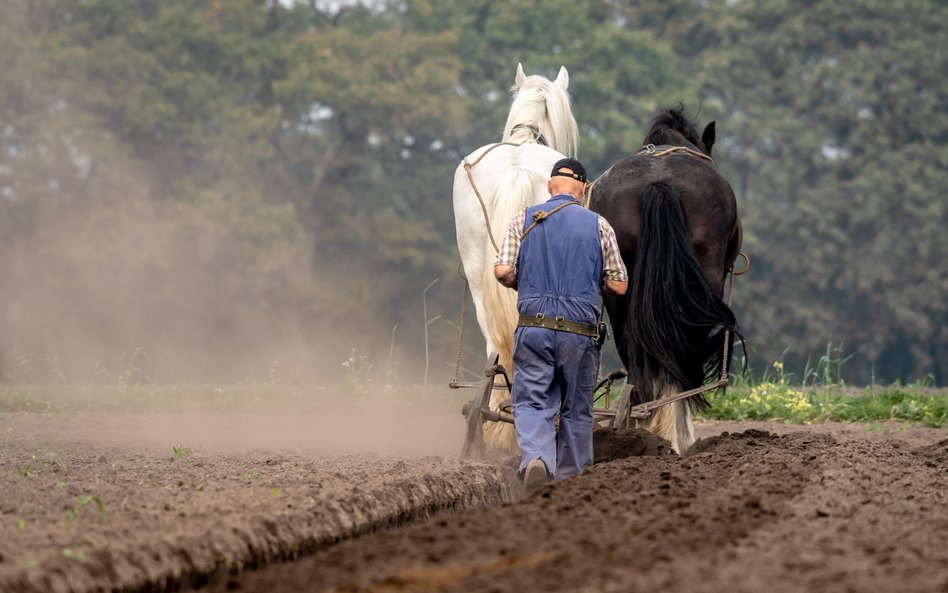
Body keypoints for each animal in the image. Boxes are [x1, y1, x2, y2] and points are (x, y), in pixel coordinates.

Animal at [592, 106, 740, 450]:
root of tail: (659, 182)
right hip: (703, 281)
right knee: (681, 355)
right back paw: (678, 436)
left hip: (618, 287)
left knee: (635, 359)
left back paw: (636, 428)